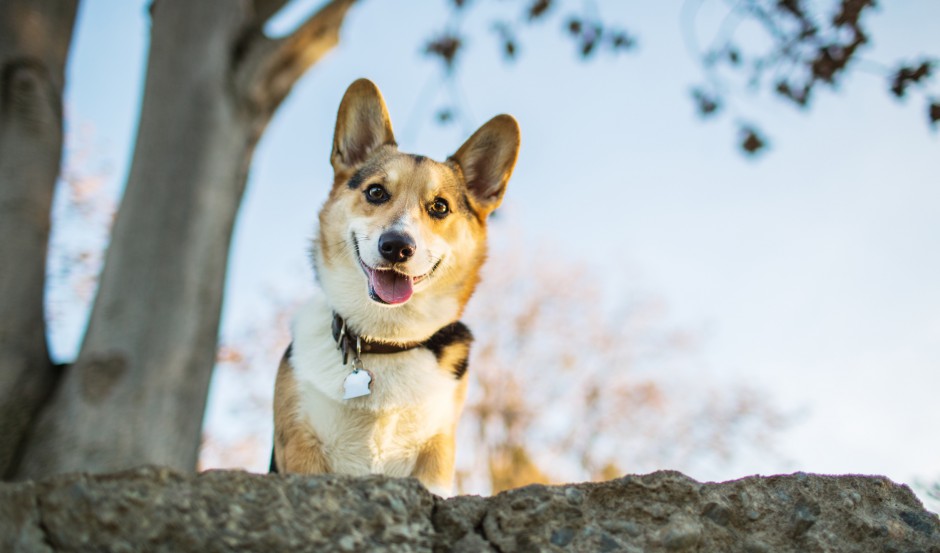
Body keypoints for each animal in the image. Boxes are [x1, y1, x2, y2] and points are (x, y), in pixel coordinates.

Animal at [272, 78, 520, 496]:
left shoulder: (436, 454)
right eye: (375, 192)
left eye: (439, 207)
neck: (385, 338)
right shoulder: (301, 444)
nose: (397, 246)